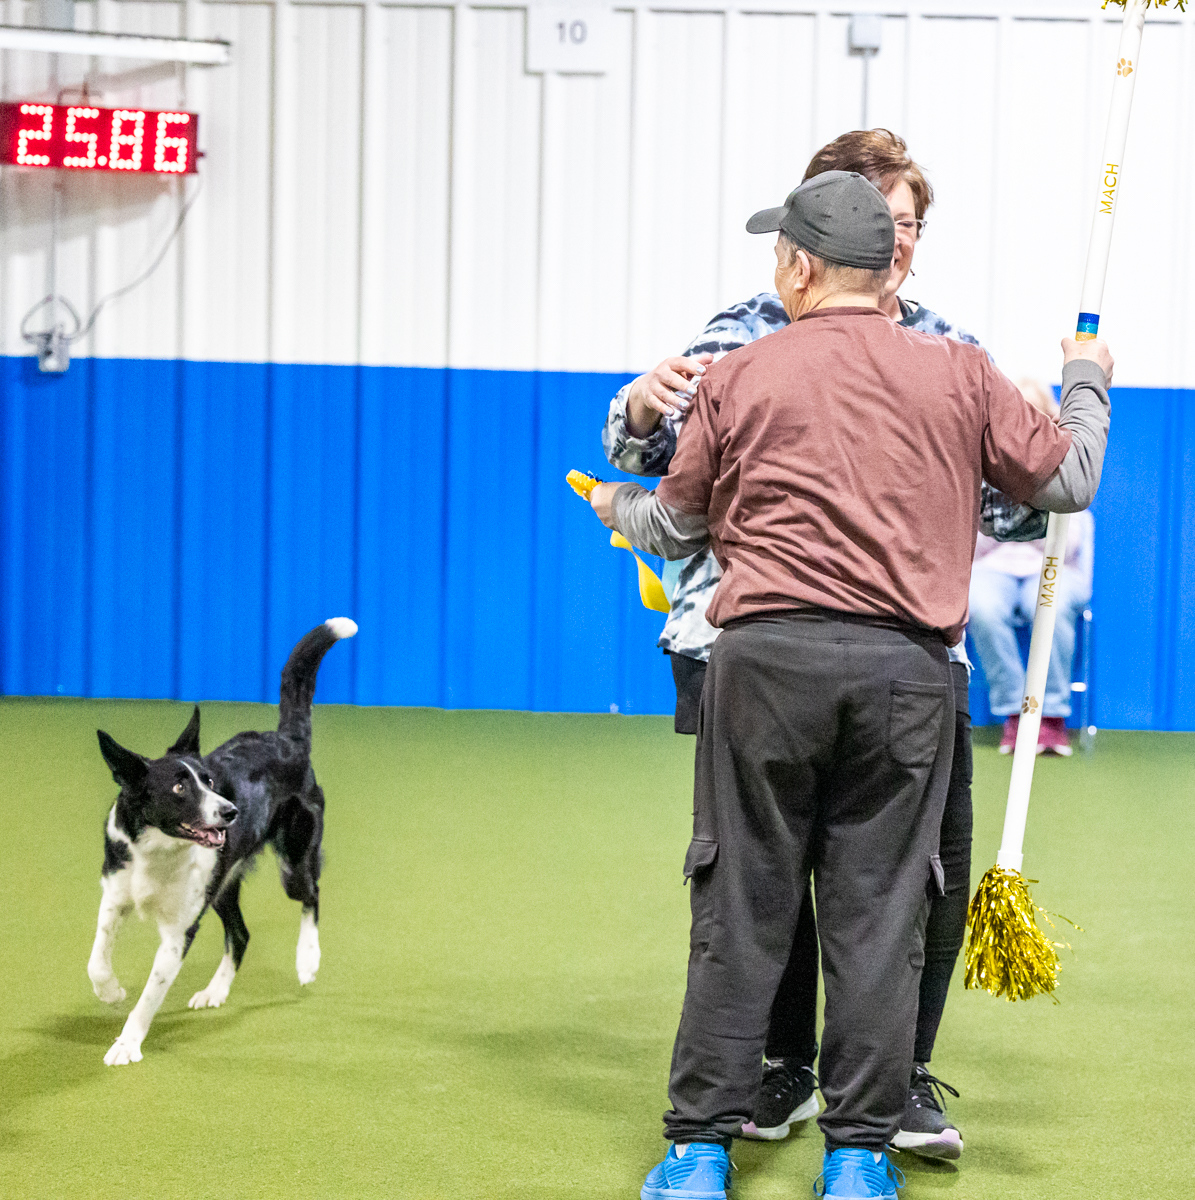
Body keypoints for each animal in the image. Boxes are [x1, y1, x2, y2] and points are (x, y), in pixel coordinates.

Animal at [87, 617, 357, 1065]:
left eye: (209, 781)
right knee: (242, 934)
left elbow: (150, 996)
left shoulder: (178, 933)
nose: (231, 812)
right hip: (223, 883)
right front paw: (111, 992)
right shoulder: (115, 894)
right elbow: (97, 958)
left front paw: (127, 1043)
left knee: (312, 894)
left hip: (294, 860)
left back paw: (307, 960)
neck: (157, 848)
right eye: (179, 787)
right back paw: (215, 991)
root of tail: (287, 741)